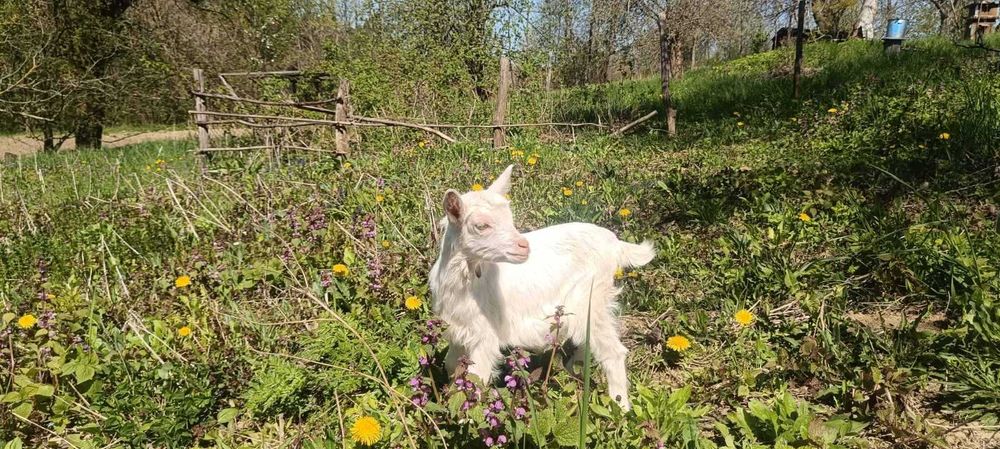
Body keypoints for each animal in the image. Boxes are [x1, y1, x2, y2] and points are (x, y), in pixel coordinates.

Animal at [428, 164, 655, 410]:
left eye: (509, 218)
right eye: (481, 226)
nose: (524, 247)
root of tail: (615, 244)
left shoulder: (484, 333)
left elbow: (476, 377)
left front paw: (466, 416)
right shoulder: (458, 327)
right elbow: (452, 366)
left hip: (591, 295)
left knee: (612, 351)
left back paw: (620, 407)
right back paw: (574, 370)